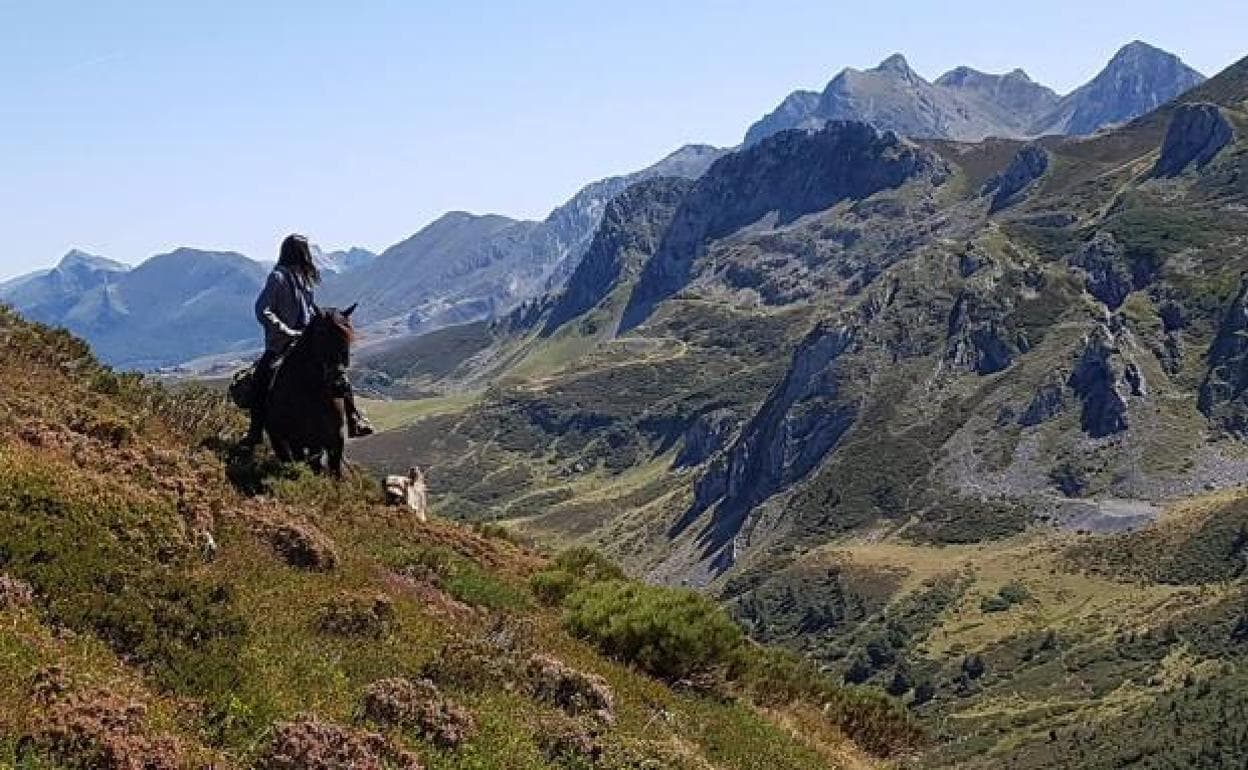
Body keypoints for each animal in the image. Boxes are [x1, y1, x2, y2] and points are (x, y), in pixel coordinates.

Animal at [265, 304, 359, 474]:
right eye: (320, 333)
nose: (339, 386)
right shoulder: (298, 442)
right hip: (282, 441)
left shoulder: (335, 440)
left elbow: (335, 472)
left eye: (348, 336)